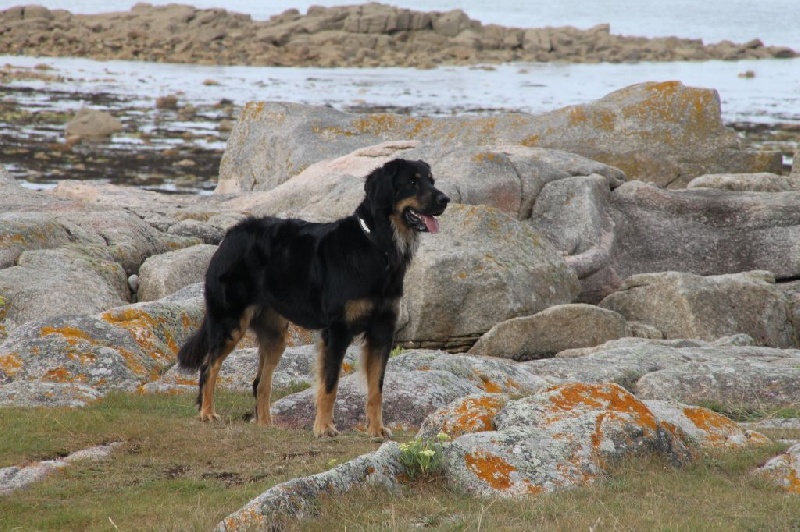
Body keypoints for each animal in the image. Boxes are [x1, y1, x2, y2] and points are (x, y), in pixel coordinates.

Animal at [177, 158, 449, 438]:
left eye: (432, 180)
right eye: (413, 182)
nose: (445, 199)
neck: (377, 246)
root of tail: (230, 235)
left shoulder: (382, 331)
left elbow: (376, 388)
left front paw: (375, 429)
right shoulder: (337, 331)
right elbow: (329, 384)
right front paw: (324, 428)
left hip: (275, 334)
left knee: (260, 382)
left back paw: (265, 425)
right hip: (230, 322)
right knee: (208, 367)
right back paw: (207, 413)